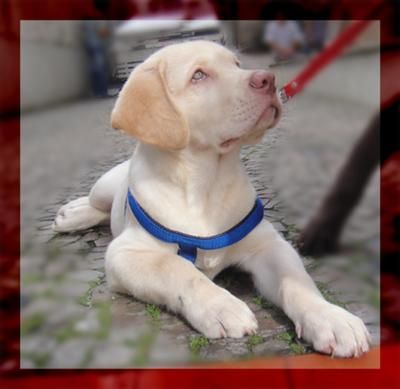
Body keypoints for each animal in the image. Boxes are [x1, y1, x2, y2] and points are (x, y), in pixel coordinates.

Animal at [51, 41, 370, 356]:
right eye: (198, 76)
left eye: (237, 64)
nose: (268, 80)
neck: (205, 182)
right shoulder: (125, 253)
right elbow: (177, 269)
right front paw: (221, 306)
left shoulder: (268, 245)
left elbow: (297, 281)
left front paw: (331, 317)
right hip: (105, 185)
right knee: (98, 205)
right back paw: (72, 213)